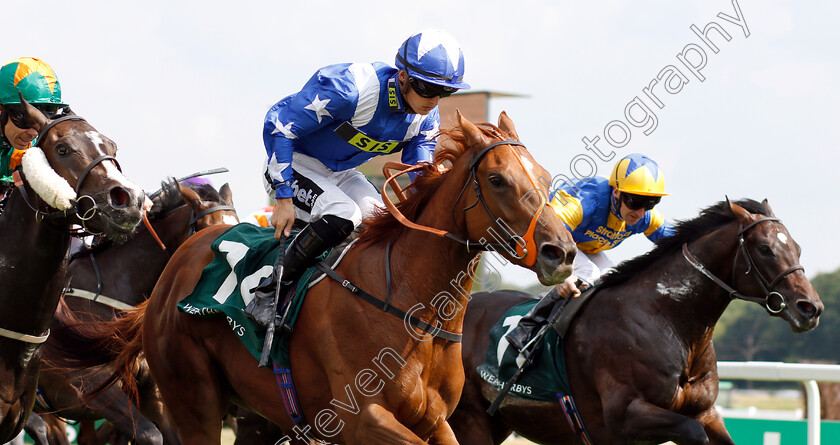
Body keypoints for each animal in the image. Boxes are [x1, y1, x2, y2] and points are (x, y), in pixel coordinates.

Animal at [60, 110, 576, 440]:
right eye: (497, 179)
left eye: (543, 177)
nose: (562, 252)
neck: (411, 311)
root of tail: (171, 275)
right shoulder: (361, 419)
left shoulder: (437, 421)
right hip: (193, 400)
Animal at [450, 199, 824, 444]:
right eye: (765, 249)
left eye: (798, 247)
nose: (811, 308)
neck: (668, 319)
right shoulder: (626, 416)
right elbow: (692, 434)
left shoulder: (707, 413)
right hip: (469, 418)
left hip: (498, 421)